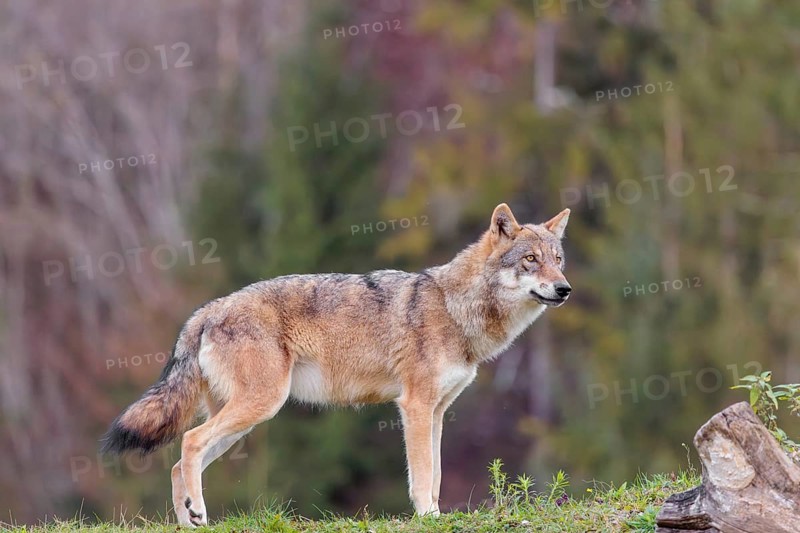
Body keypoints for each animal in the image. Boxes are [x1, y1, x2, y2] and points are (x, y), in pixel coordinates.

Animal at [101, 203, 572, 527]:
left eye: (558, 259)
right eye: (531, 260)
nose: (565, 289)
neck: (456, 308)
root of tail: (208, 310)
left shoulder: (437, 411)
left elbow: (436, 474)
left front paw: (436, 515)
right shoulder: (415, 407)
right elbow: (423, 476)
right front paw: (426, 518)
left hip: (246, 420)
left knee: (179, 463)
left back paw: (192, 522)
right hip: (259, 407)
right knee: (190, 443)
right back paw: (197, 512)